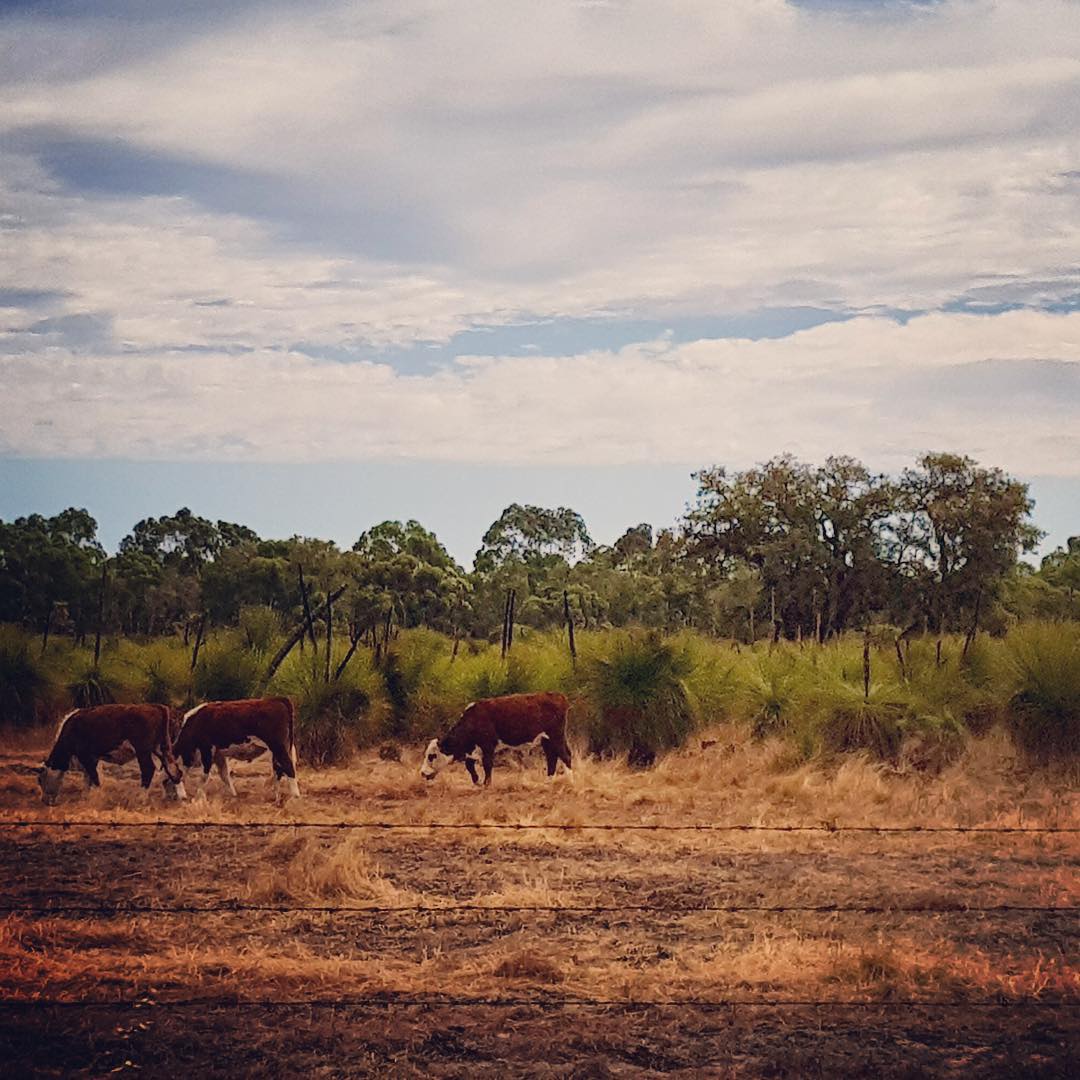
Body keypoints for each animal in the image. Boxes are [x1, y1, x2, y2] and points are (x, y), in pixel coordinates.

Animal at [38, 704, 186, 805]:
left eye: (40, 779)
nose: (44, 800)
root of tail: (156, 707)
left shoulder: (85, 756)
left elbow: (94, 777)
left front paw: (98, 796)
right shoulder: (92, 758)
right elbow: (88, 778)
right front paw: (86, 796)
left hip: (143, 751)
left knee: (148, 769)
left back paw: (141, 797)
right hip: (163, 749)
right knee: (174, 770)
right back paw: (181, 797)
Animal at [169, 697, 299, 799]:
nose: (171, 796)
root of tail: (278, 699)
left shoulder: (206, 749)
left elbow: (205, 775)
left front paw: (198, 796)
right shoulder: (219, 755)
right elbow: (225, 775)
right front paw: (233, 795)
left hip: (278, 747)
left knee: (288, 767)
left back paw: (295, 797)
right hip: (281, 749)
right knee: (279, 769)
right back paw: (275, 796)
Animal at [420, 692, 572, 786]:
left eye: (431, 756)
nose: (422, 773)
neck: (474, 719)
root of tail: (559, 696)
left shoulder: (488, 746)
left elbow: (487, 764)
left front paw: (487, 784)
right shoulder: (473, 748)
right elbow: (469, 765)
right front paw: (477, 781)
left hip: (556, 736)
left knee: (565, 755)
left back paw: (569, 779)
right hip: (546, 740)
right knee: (552, 757)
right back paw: (548, 781)